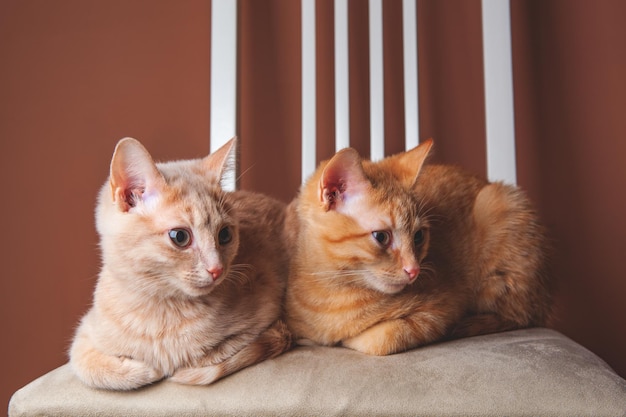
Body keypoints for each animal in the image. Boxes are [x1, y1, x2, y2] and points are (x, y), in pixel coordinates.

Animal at [70, 138, 290, 388]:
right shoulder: (86, 329)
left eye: (225, 234)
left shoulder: (266, 314)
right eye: (180, 237)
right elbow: (84, 362)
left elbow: (211, 352)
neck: (160, 309)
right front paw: (142, 369)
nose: (217, 269)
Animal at [284, 140, 552, 354]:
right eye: (381, 237)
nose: (414, 270)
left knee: (519, 315)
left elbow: (380, 339)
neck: (331, 293)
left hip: (502, 211)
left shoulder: (442, 309)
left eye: (419, 236)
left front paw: (346, 339)